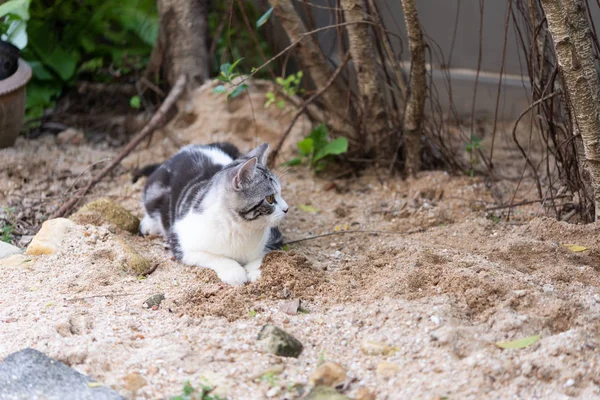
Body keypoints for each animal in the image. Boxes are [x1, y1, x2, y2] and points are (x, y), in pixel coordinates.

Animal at [141, 142, 290, 286]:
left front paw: (254, 271)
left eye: (281, 193)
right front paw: (234, 272)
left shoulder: (275, 239)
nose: (286, 208)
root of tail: (188, 148)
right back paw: (148, 225)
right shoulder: (181, 243)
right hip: (154, 191)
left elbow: (261, 255)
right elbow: (213, 257)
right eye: (270, 198)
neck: (239, 227)